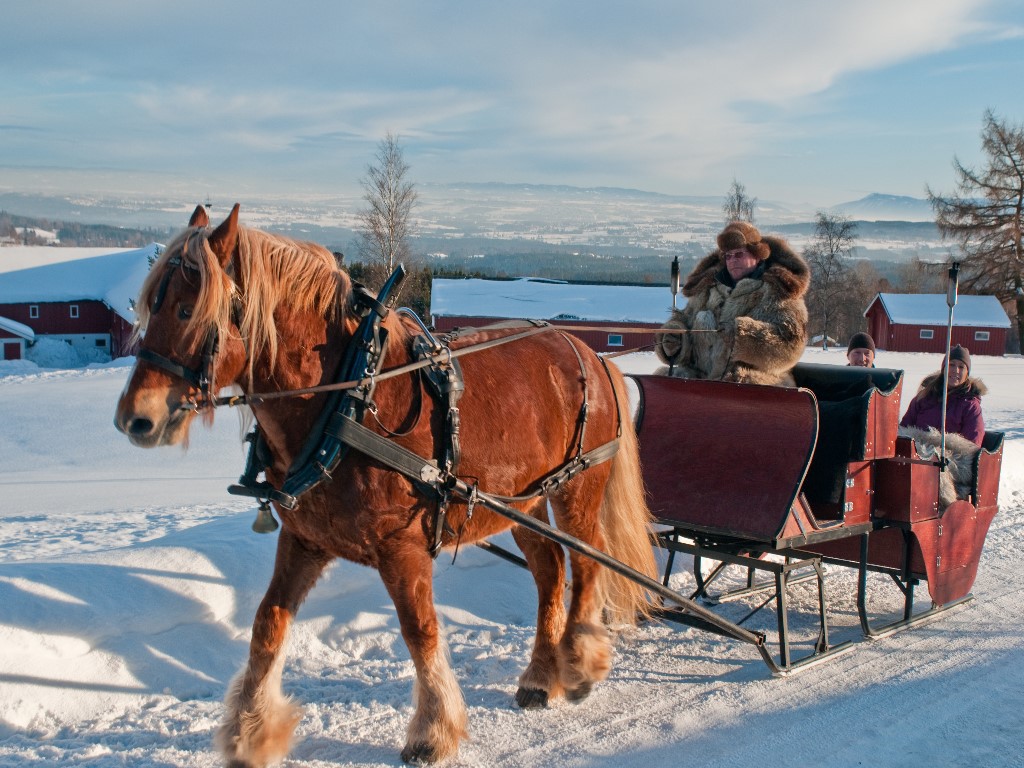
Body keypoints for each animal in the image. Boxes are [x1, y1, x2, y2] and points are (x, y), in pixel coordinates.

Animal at [114, 205, 655, 768]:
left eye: (188, 311)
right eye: (151, 306)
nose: (135, 419)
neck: (345, 400)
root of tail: (589, 352)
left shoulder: (403, 547)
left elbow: (421, 630)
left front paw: (432, 731)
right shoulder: (304, 539)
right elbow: (268, 625)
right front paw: (250, 732)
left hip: (576, 489)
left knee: (587, 566)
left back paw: (579, 664)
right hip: (521, 501)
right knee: (550, 569)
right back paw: (539, 677)